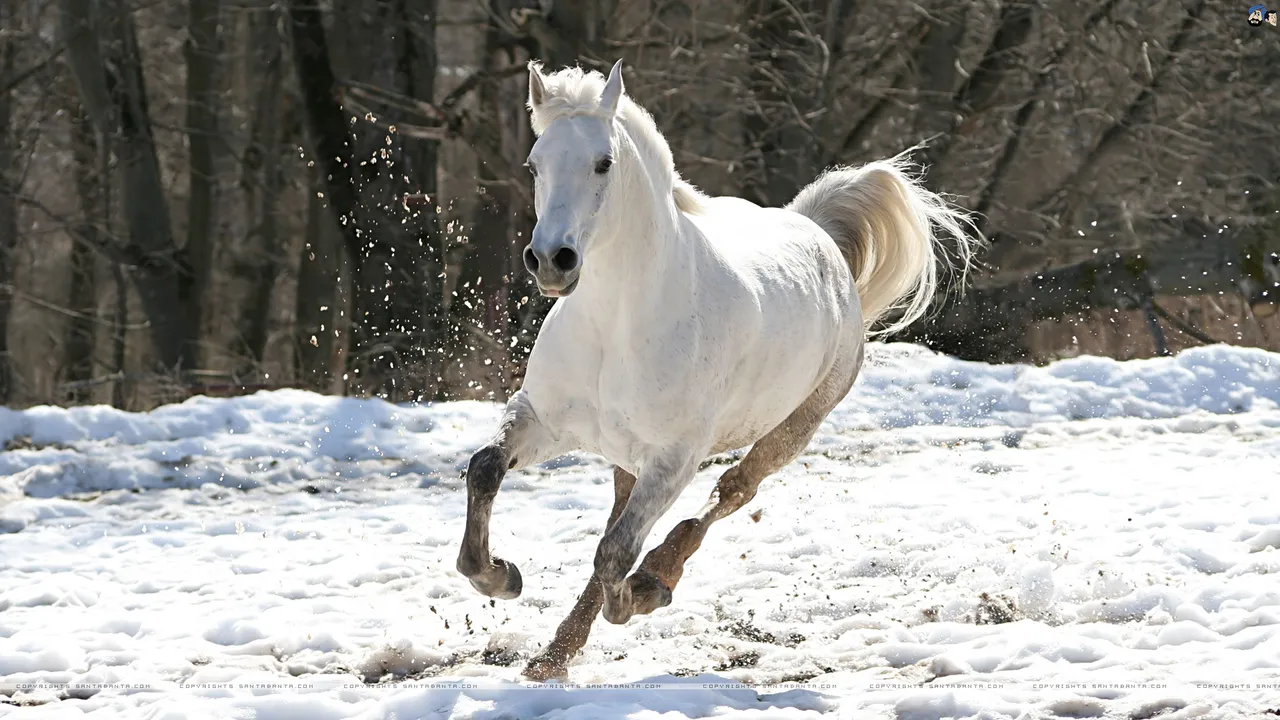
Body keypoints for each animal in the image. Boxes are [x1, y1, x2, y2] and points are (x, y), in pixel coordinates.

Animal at [455, 57, 972, 676]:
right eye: (534, 164)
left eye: (603, 163)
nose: (551, 260)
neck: (616, 325)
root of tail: (817, 232)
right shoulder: (544, 421)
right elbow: (486, 469)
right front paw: (500, 577)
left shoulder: (676, 457)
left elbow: (615, 554)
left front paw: (641, 594)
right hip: (627, 453)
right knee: (628, 513)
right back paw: (554, 655)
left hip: (794, 427)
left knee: (731, 492)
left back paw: (656, 578)